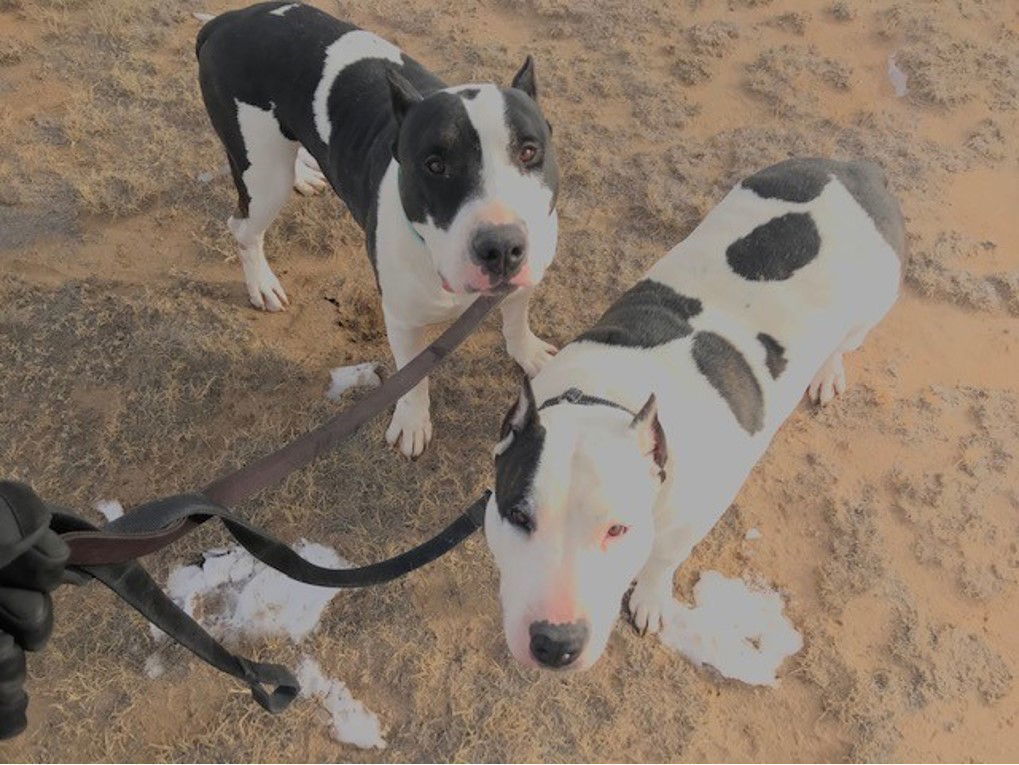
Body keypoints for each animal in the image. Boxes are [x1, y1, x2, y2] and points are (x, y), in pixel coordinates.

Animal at [194, 2, 562, 454]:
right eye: (434, 165)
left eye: (528, 152)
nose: (502, 247)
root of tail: (226, 21)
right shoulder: (402, 320)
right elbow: (412, 380)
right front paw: (412, 421)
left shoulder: (526, 278)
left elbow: (515, 317)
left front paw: (527, 350)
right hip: (261, 175)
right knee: (243, 228)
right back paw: (261, 283)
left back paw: (304, 174)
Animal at [487, 159, 908, 668]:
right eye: (517, 516)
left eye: (619, 529)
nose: (555, 643)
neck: (604, 396)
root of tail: (850, 167)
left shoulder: (694, 516)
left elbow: (663, 558)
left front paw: (650, 598)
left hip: (871, 308)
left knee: (846, 342)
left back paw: (828, 371)